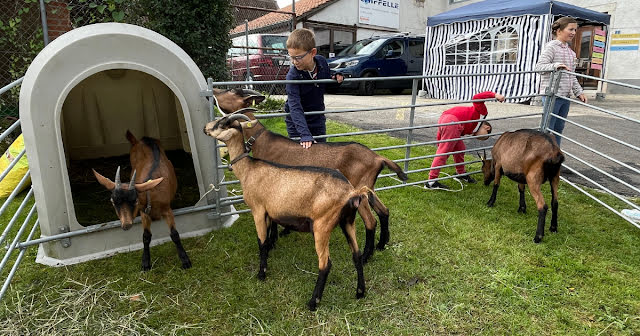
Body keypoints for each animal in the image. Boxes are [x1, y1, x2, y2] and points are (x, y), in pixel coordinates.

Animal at [92, 131, 191, 270]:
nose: (126, 225)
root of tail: (140, 140)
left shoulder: (167, 210)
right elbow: (146, 237)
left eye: (135, 201)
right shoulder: (144, 213)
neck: (151, 194)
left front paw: (185, 261)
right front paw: (145, 263)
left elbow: (174, 235)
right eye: (112, 201)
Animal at [204, 114, 380, 312]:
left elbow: (261, 242)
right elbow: (268, 238)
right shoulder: (269, 212)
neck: (248, 170)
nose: (205, 128)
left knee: (325, 264)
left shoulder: (258, 209)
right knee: (356, 255)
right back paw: (360, 292)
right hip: (347, 222)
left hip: (322, 225)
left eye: (222, 123)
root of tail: (351, 192)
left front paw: (262, 273)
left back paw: (313, 302)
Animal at [212, 89, 408, 262]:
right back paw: (381, 245)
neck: (261, 139)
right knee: (384, 211)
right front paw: (284, 232)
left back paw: (366, 257)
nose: (213, 91)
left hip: (359, 188)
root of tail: (378, 157)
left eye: (232, 91)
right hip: (369, 187)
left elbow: (272, 220)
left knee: (370, 221)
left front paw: (273, 240)